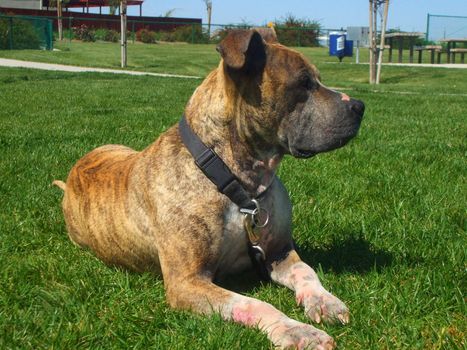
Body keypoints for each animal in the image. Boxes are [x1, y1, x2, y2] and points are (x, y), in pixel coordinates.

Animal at [54, 28, 366, 348]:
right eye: (303, 83)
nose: (359, 106)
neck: (236, 179)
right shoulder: (187, 282)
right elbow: (254, 304)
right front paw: (297, 331)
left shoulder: (279, 252)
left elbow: (306, 271)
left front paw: (325, 301)